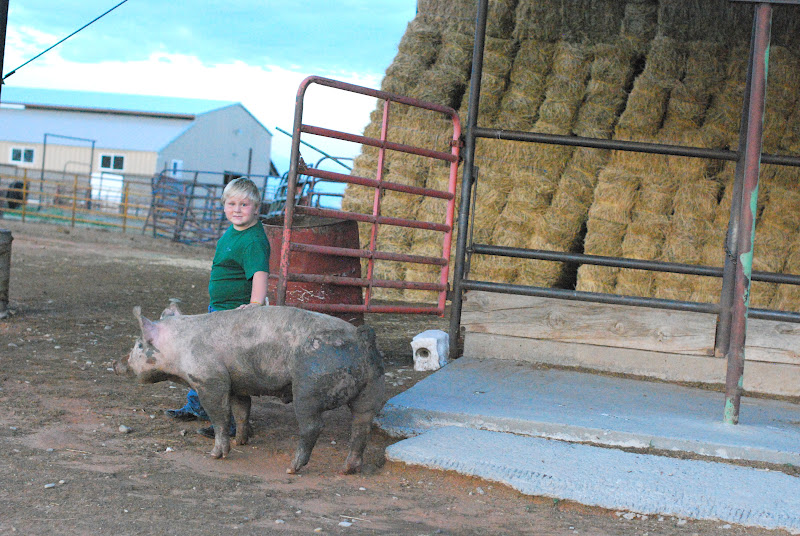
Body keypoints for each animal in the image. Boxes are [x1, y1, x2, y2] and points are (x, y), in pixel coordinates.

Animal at [113, 302, 385, 475]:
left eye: (138, 345)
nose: (116, 364)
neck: (180, 349)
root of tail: (361, 337)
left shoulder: (211, 380)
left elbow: (220, 418)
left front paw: (216, 454)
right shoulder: (238, 384)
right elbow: (242, 410)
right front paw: (242, 441)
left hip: (308, 389)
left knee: (313, 426)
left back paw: (291, 468)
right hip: (371, 389)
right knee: (361, 426)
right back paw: (348, 469)